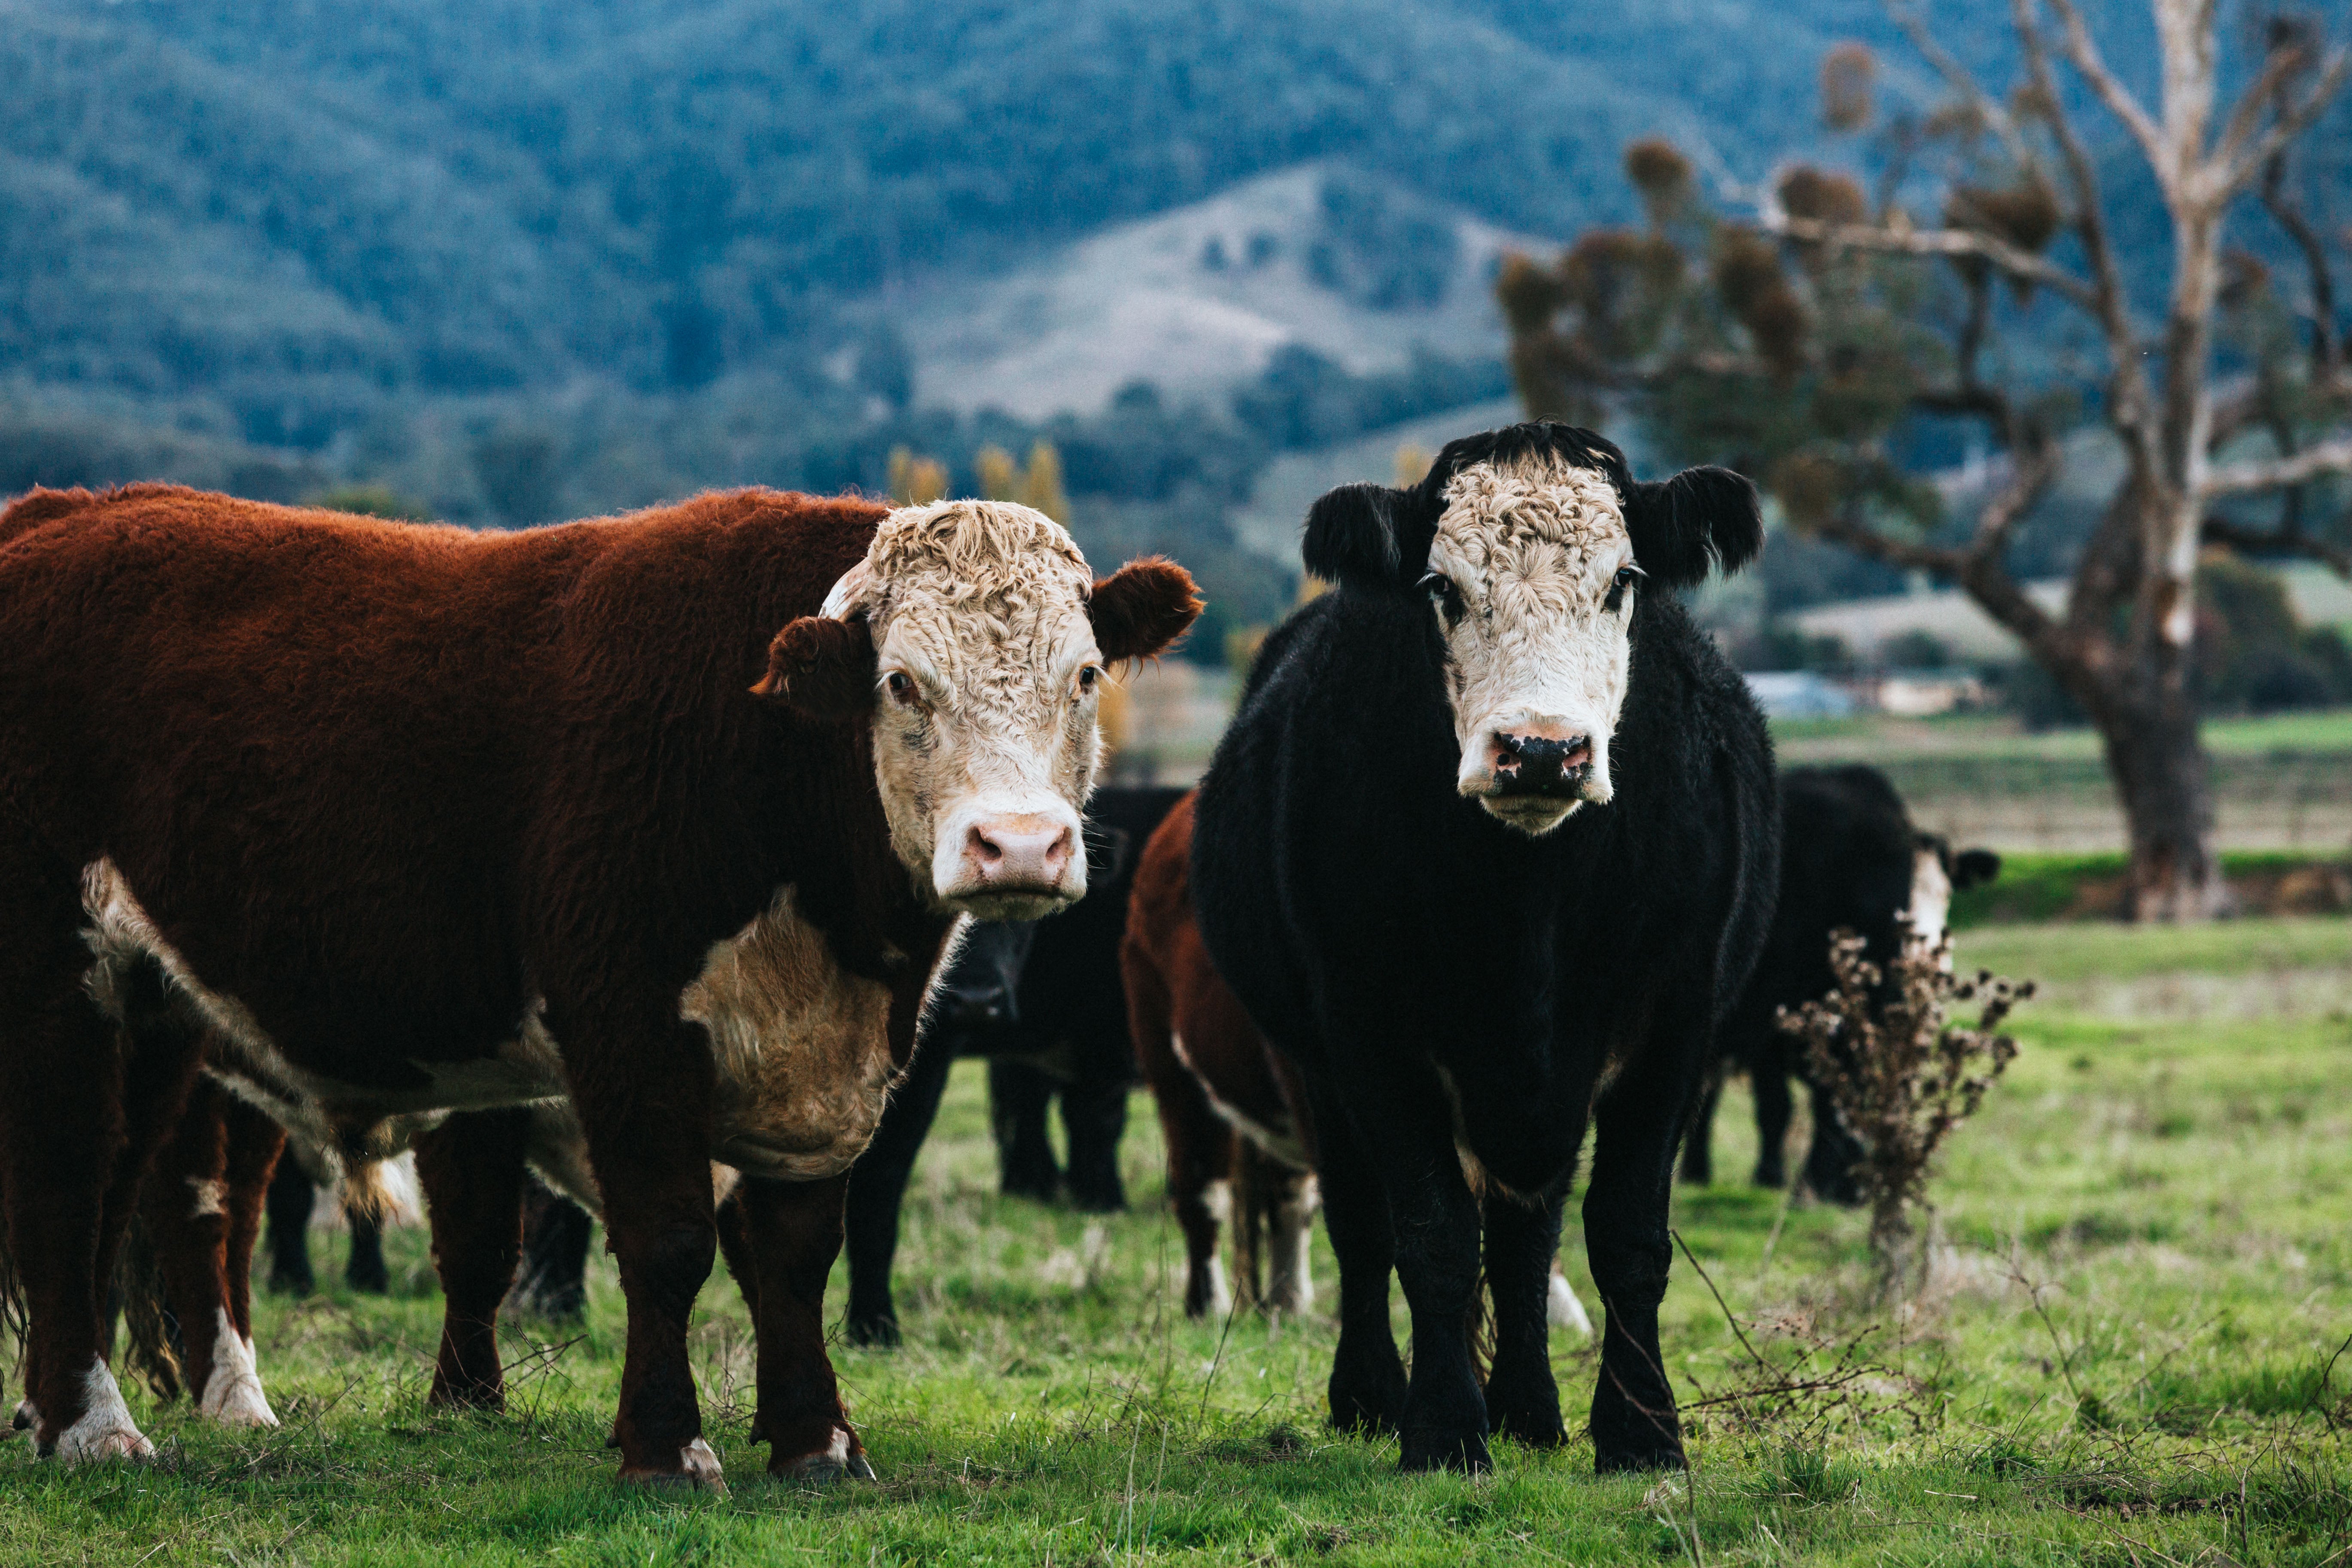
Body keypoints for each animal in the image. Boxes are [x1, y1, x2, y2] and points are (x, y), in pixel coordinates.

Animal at [0, 483, 1197, 1482]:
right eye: (902, 682)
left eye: (1083, 676)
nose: (1020, 846)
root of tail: (63, 508)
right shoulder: (626, 1026)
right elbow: (666, 1241)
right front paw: (667, 1446)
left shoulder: (824, 1065)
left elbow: (797, 1251)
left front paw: (814, 1440)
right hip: (59, 976)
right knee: (67, 1182)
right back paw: (94, 1426)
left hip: (157, 1013)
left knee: (140, 1196)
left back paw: (106, 1405)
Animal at [1190, 423, 1777, 1475]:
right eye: (1442, 588)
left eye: (1621, 581)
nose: (1540, 750)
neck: (1526, 906)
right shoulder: (1368, 1032)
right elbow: (1426, 1233)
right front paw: (1442, 1430)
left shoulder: (1673, 1022)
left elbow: (1624, 1234)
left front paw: (1641, 1433)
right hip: (1313, 1068)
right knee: (1362, 1223)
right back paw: (1372, 1395)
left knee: (1522, 1236)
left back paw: (1531, 1409)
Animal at [1681, 765, 2001, 1202]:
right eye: (1879, 896)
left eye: (1946, 893)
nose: (1924, 965)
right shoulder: (1769, 1020)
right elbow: (1778, 1106)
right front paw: (1782, 1178)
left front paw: (1843, 1186)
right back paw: (1697, 1172)